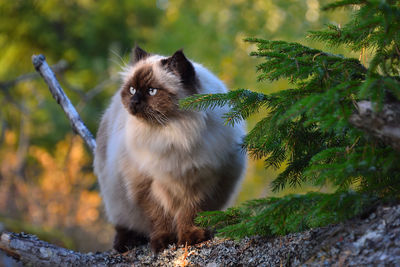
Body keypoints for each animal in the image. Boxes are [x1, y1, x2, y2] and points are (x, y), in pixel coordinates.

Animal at [94, 46, 247, 253]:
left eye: (152, 91)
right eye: (132, 90)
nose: (134, 102)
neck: (173, 133)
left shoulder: (200, 183)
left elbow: (191, 214)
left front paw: (191, 237)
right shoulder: (147, 185)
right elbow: (160, 218)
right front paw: (163, 242)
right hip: (115, 199)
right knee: (123, 224)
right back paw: (125, 243)